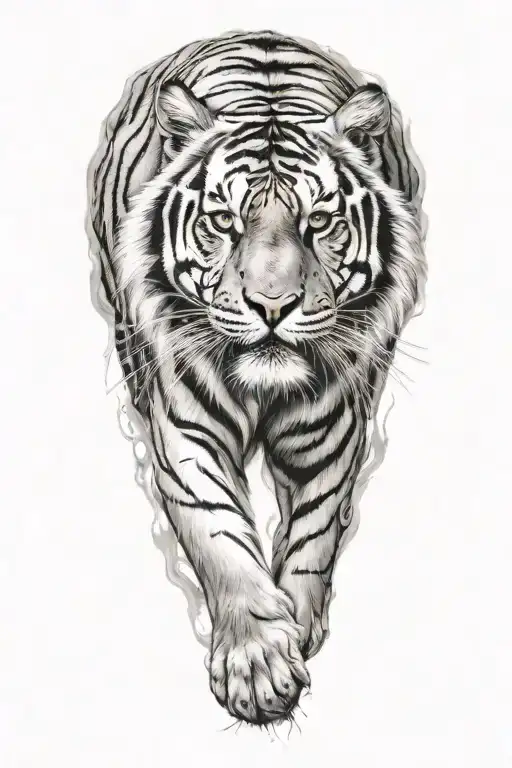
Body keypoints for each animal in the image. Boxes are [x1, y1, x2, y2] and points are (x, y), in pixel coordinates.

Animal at [85, 29, 427, 727]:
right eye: (224, 222)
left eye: (318, 223)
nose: (273, 306)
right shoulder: (185, 431)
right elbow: (218, 534)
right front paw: (257, 666)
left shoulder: (333, 433)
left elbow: (314, 534)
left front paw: (298, 625)